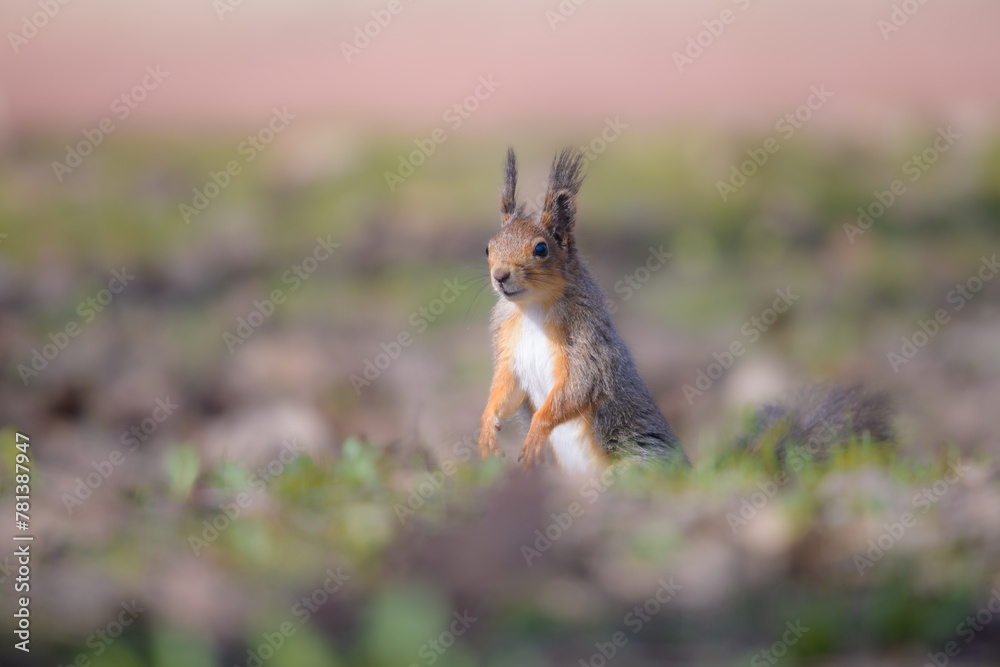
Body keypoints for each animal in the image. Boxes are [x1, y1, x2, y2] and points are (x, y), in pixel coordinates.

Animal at [478, 148, 893, 473]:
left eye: (541, 249)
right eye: (488, 247)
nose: (500, 277)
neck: (533, 308)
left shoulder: (589, 344)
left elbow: (577, 389)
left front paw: (535, 433)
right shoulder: (507, 346)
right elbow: (505, 390)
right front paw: (486, 430)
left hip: (635, 462)